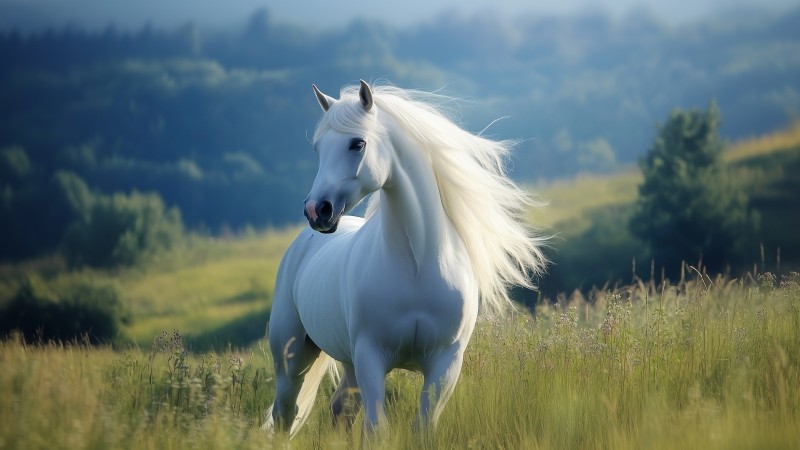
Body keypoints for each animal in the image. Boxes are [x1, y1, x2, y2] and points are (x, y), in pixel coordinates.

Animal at [263, 80, 547, 436]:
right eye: (317, 149)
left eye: (357, 143)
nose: (317, 210)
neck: (417, 267)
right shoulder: (371, 356)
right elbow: (377, 428)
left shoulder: (445, 363)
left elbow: (424, 425)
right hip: (293, 361)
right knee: (286, 414)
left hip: (347, 363)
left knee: (339, 409)